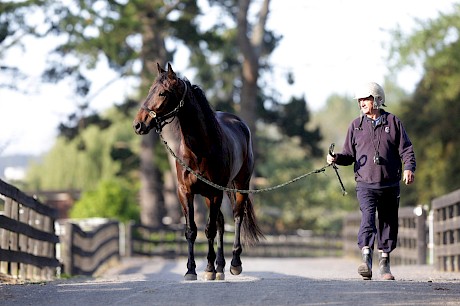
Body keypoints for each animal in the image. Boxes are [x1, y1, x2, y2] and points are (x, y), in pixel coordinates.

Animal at [132, 63, 262, 280]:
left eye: (162, 93)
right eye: (150, 90)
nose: (138, 124)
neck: (200, 149)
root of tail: (239, 123)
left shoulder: (215, 193)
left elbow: (209, 230)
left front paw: (208, 269)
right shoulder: (185, 192)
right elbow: (192, 230)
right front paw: (191, 269)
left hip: (239, 185)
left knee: (236, 217)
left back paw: (234, 263)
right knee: (221, 222)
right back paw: (220, 266)